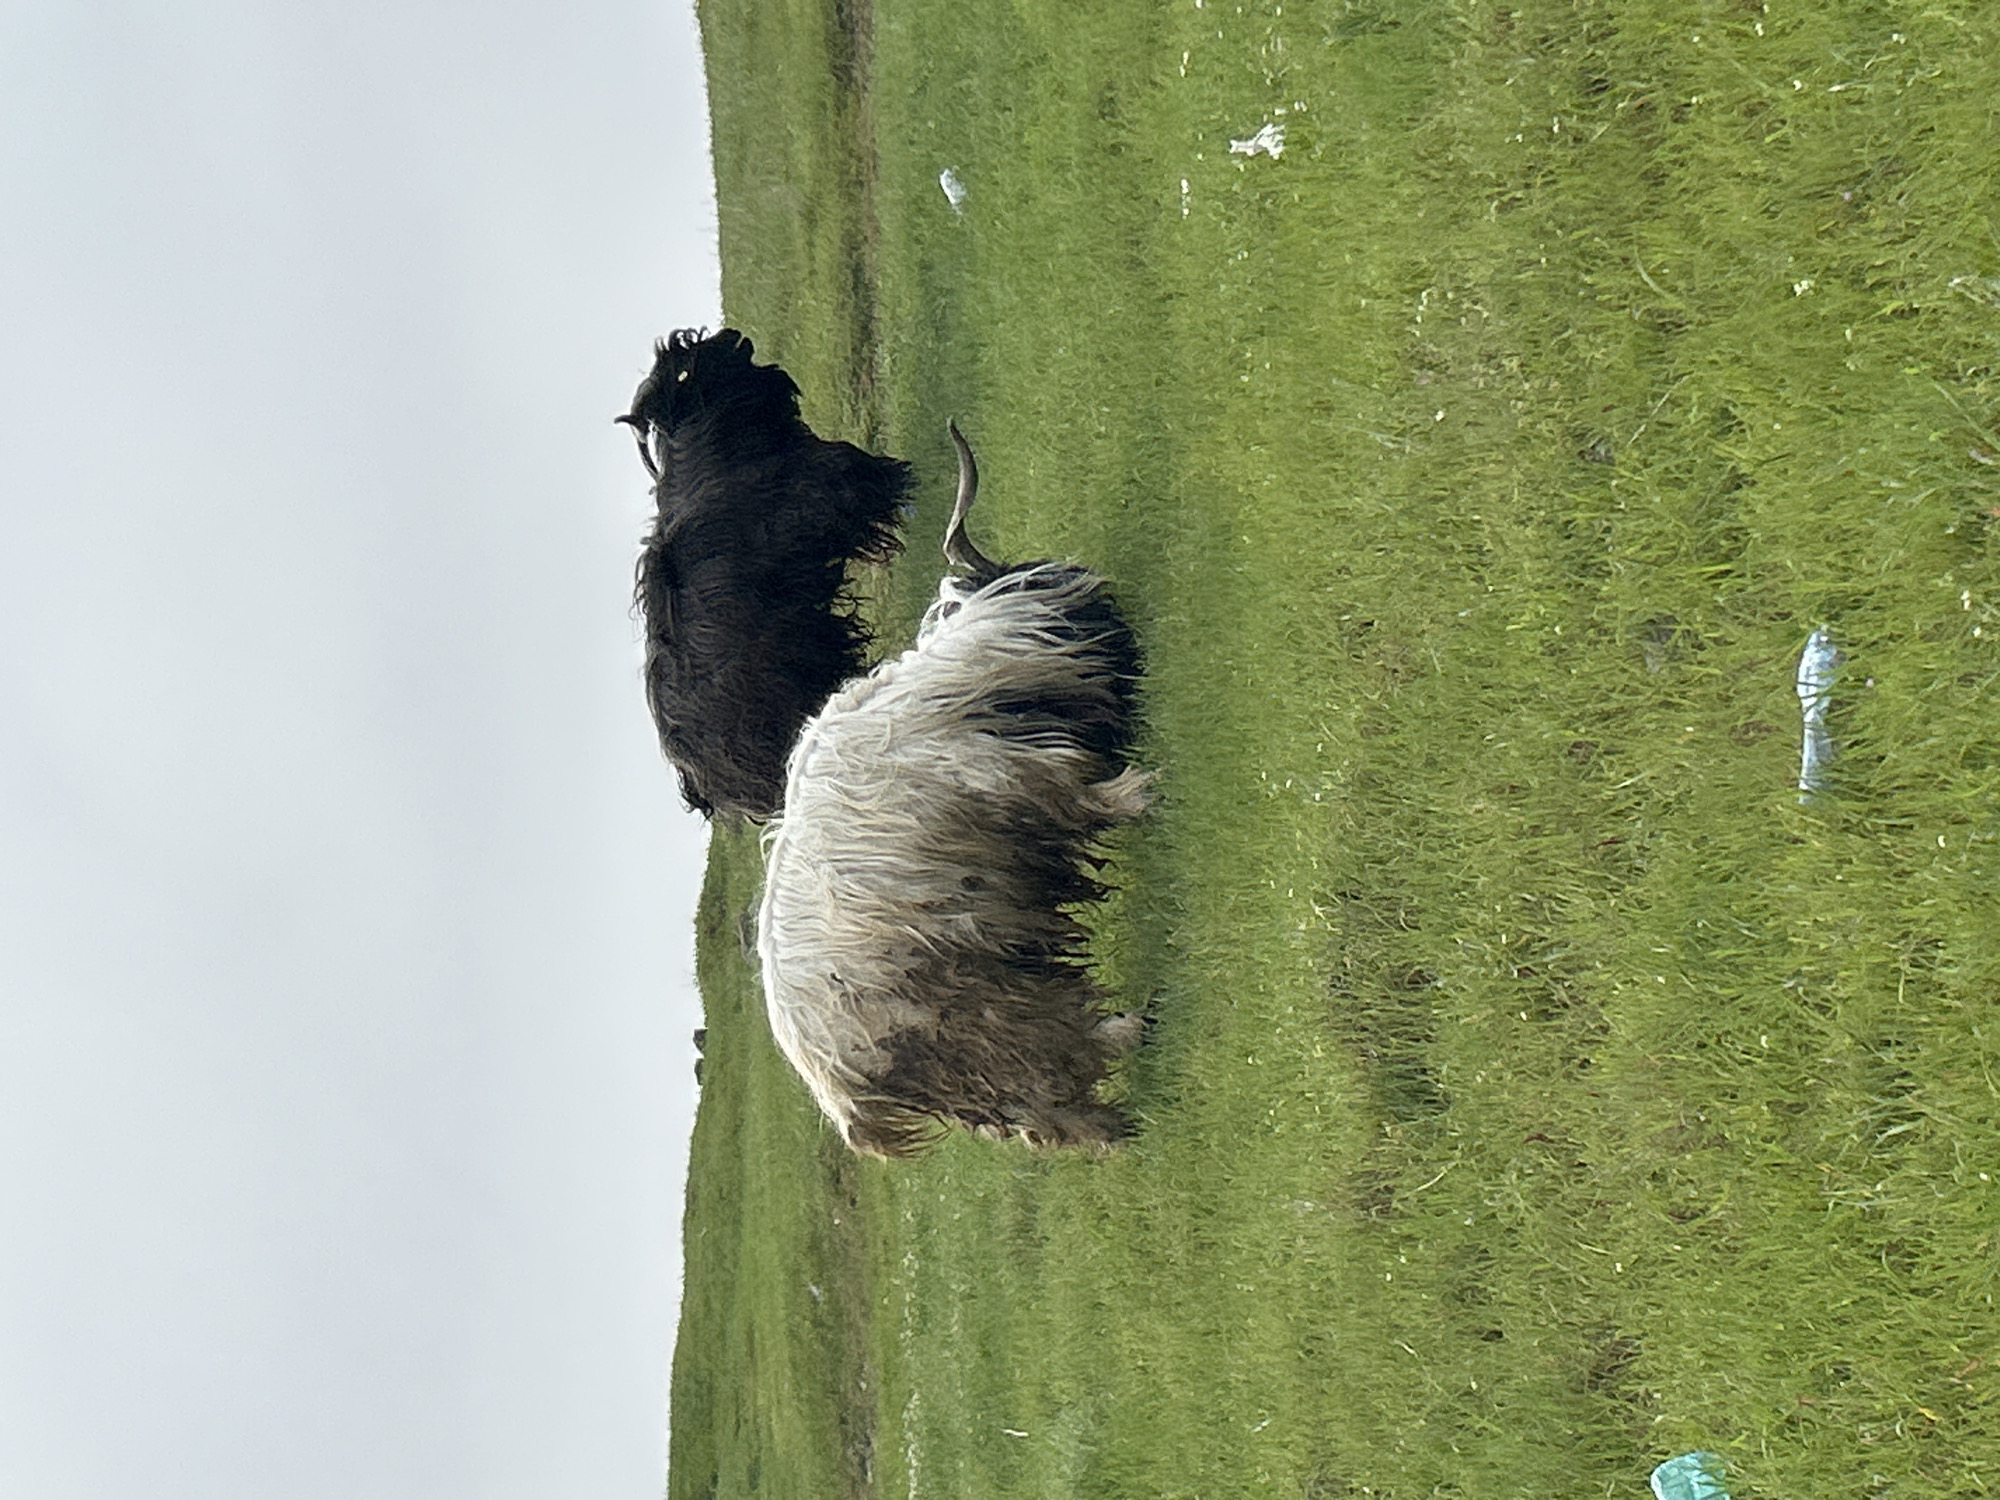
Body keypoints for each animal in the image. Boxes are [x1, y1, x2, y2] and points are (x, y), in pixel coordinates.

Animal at [757, 424, 1149, 1156]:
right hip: (976, 1012)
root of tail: (842, 1098)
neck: (958, 687)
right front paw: (1141, 794)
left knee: (1042, 1117)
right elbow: (1085, 797)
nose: (1127, 635)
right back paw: (1131, 1035)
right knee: (1052, 1066)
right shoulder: (1023, 784)